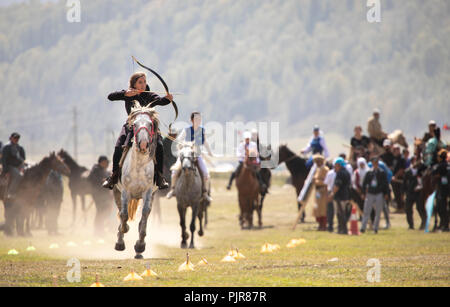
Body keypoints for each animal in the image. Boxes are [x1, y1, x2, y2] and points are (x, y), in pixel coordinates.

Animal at [112, 105, 158, 260]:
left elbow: (144, 215)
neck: (138, 166)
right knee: (121, 212)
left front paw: (140, 245)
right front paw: (120, 243)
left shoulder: (148, 192)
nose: (143, 144)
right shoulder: (125, 192)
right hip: (117, 192)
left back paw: (138, 253)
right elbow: (124, 215)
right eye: (134, 125)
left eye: (150, 124)